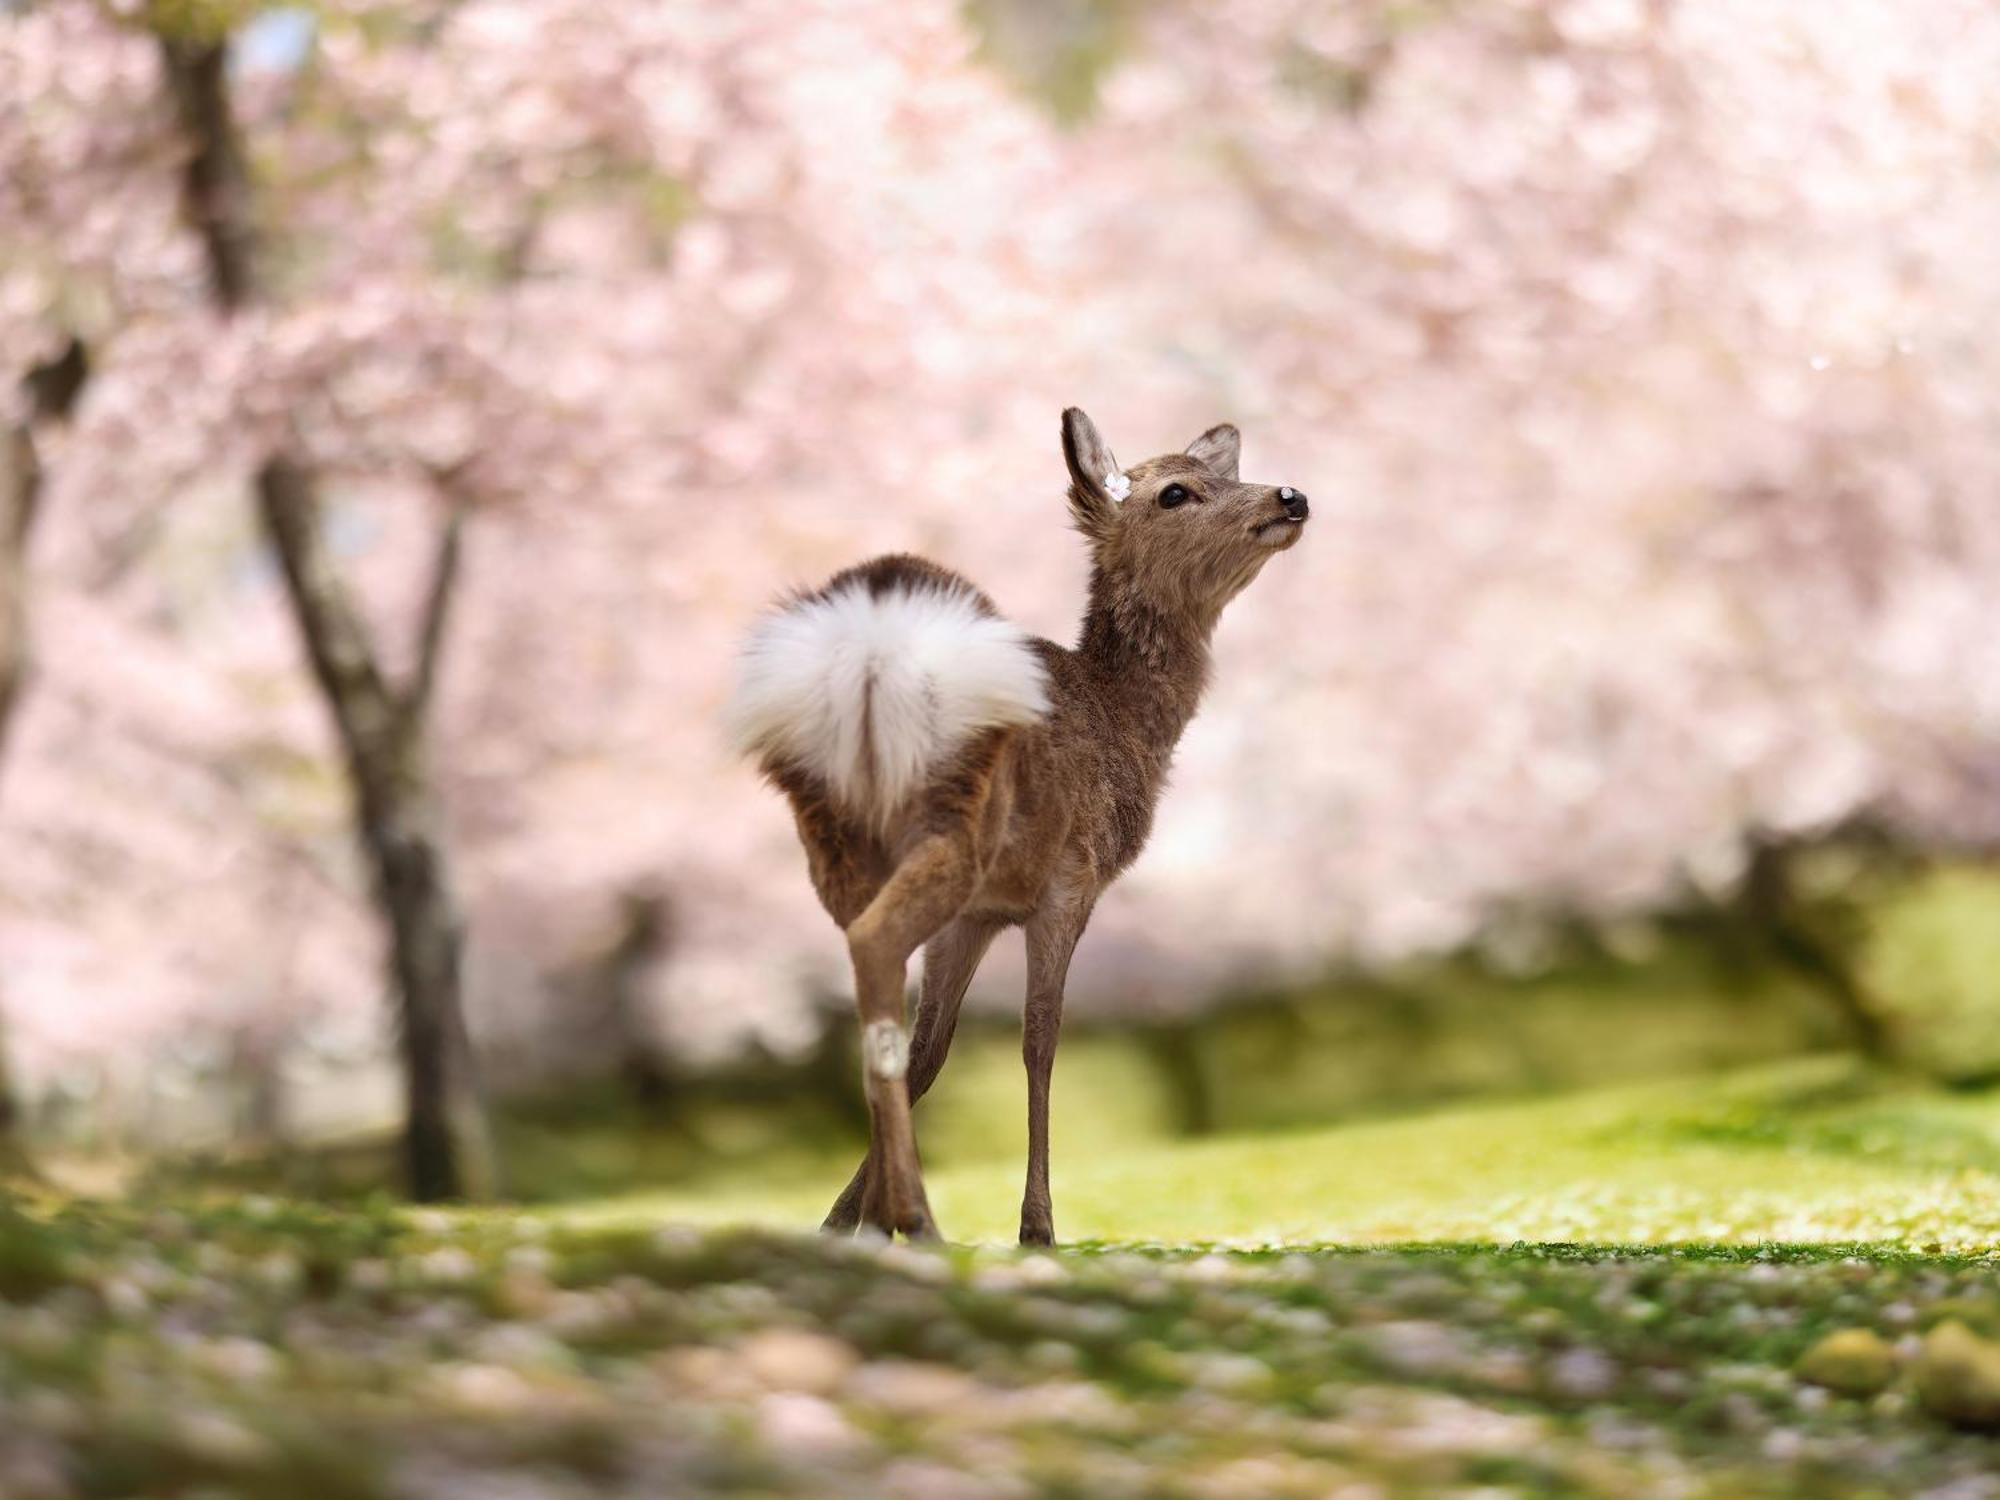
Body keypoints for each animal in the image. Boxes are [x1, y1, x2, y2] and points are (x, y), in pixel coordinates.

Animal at [728, 412, 1304, 1248]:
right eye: (1175, 491)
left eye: (1226, 474)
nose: (1291, 495)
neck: (1125, 721)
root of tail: (869, 653)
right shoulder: (1072, 875)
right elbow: (1040, 1039)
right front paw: (1037, 1227)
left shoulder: (979, 914)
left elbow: (931, 1049)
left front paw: (844, 1220)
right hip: (955, 815)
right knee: (876, 945)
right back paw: (922, 1220)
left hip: (832, 826)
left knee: (869, 980)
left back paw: (894, 1219)